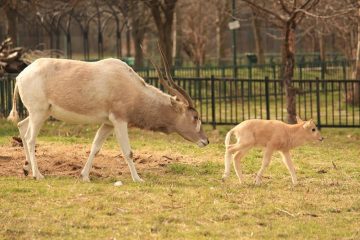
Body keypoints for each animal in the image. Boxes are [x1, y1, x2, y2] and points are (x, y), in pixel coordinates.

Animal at [7, 47, 210, 182]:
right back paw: (38, 174)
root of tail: (21, 75)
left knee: (22, 127)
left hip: (40, 113)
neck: (132, 87)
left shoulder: (108, 124)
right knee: (31, 138)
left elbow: (95, 147)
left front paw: (84, 176)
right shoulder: (119, 121)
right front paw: (138, 179)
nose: (206, 141)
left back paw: (26, 169)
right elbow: (128, 152)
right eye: (195, 117)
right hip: (39, 112)